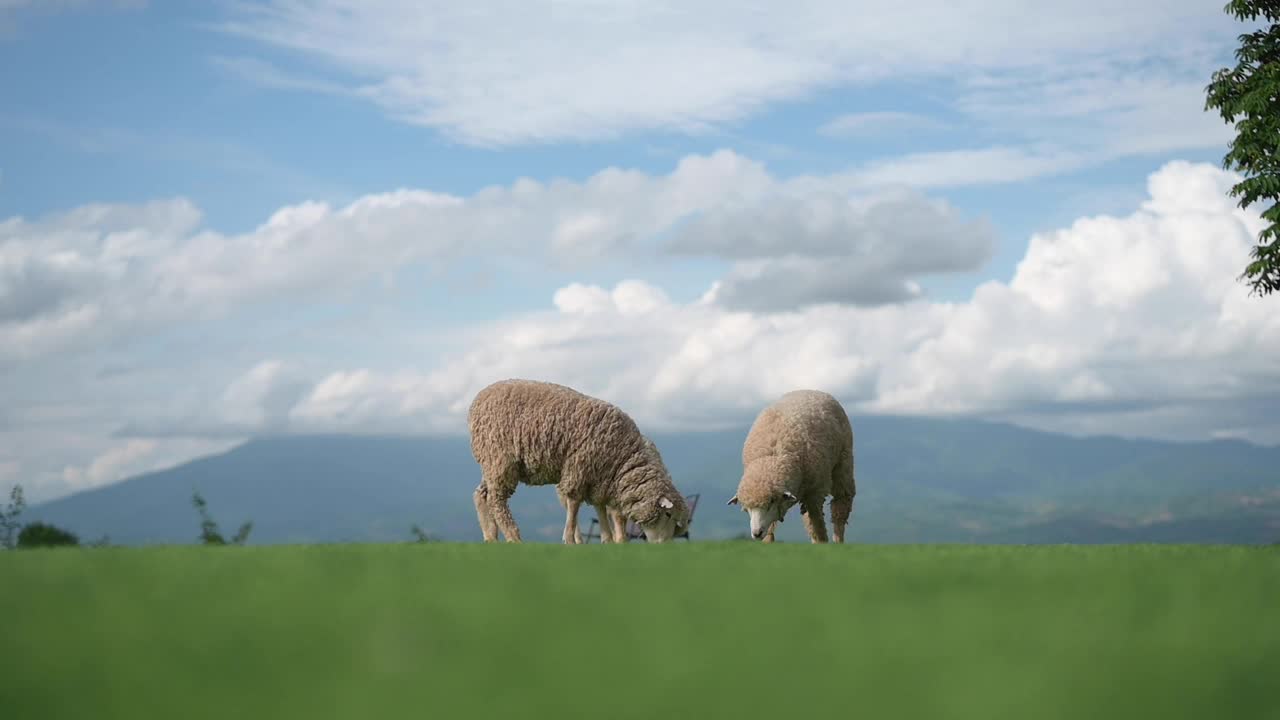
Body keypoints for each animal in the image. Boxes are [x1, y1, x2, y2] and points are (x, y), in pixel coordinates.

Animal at [471, 379, 691, 540]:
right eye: (668, 515)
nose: (663, 548)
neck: (623, 456)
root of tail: (479, 398)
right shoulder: (578, 470)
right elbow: (574, 507)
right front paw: (570, 541)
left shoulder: (600, 481)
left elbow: (600, 511)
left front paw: (609, 542)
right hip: (501, 460)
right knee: (497, 500)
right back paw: (513, 537)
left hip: (491, 463)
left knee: (481, 495)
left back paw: (491, 537)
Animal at [727, 389, 855, 540]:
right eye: (746, 507)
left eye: (771, 501)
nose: (756, 533)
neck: (773, 457)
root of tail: (810, 390)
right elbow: (771, 531)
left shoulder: (815, 493)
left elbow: (818, 528)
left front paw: (822, 542)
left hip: (843, 463)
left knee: (840, 506)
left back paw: (838, 539)